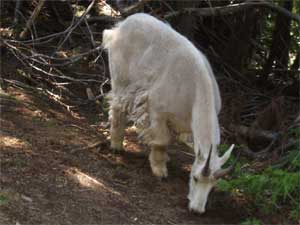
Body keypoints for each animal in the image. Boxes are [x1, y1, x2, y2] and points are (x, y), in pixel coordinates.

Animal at [103, 13, 237, 214]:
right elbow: (162, 140)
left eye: (213, 185)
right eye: (195, 178)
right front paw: (160, 170)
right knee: (118, 106)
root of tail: (120, 27)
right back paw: (116, 145)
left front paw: (164, 159)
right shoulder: (157, 111)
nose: (197, 210)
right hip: (120, 78)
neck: (195, 90)